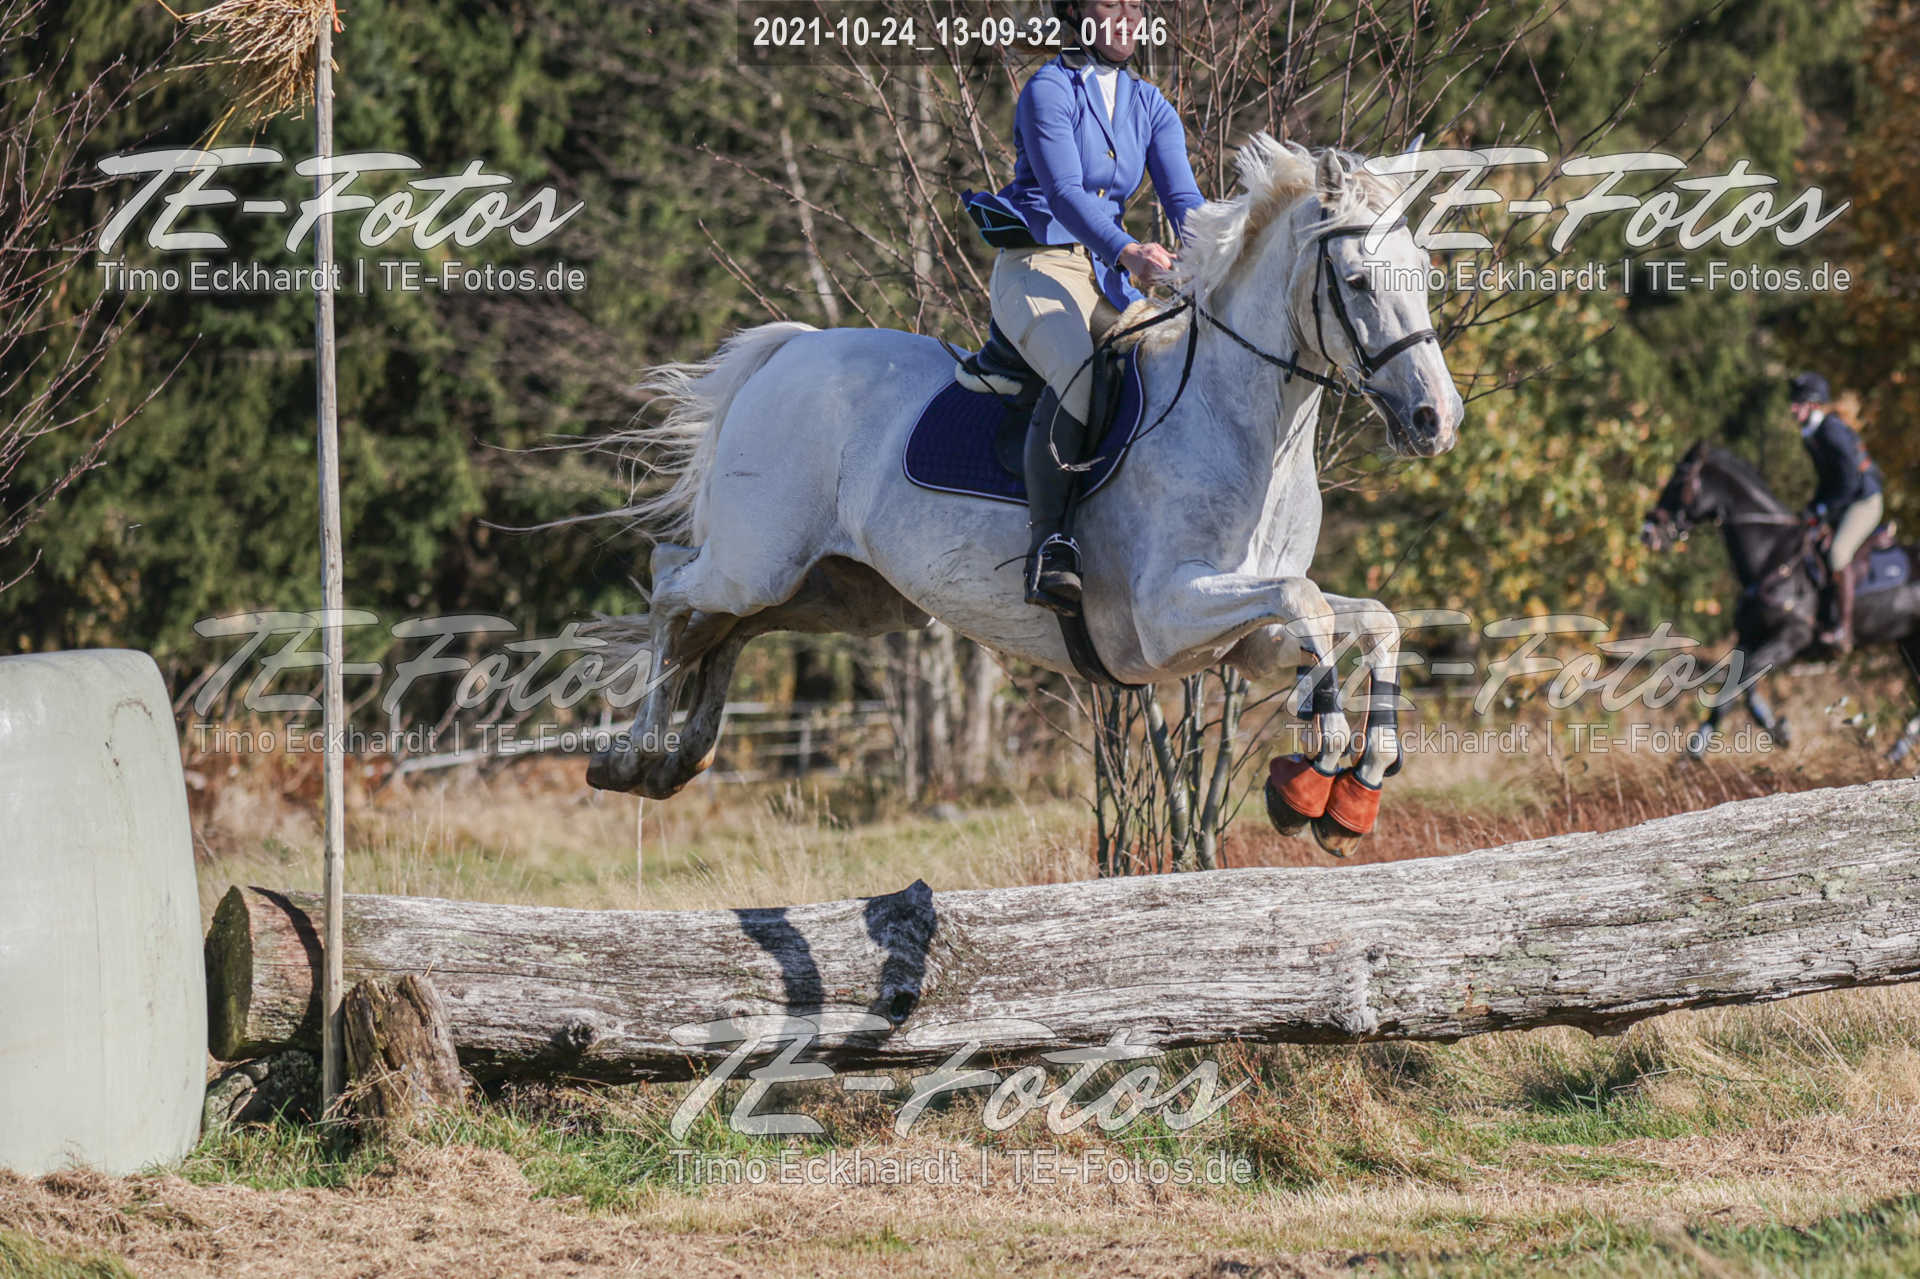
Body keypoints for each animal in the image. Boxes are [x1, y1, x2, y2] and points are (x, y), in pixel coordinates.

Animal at [583, 136, 1466, 852]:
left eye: (1424, 275)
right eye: (1355, 279)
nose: (1437, 418)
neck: (1243, 423)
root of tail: (791, 351)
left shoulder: (1234, 641)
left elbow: (1367, 619)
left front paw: (1352, 788)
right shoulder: (1167, 618)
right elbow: (1310, 604)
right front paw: (1317, 768)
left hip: (842, 594)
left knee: (725, 629)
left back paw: (681, 756)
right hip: (757, 561)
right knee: (672, 586)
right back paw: (632, 756)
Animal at [1641, 441, 1920, 759]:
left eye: (1679, 480)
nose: (1648, 533)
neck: (1771, 555)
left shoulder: (1789, 639)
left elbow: (1739, 687)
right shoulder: (1749, 638)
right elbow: (1737, 690)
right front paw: (1773, 730)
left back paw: (1896, 752)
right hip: (1909, 645)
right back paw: (1896, 752)